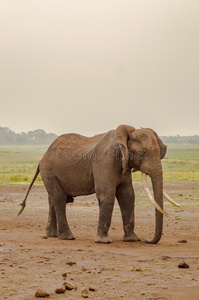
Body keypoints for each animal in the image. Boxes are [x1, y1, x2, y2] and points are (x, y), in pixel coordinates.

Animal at [18, 124, 179, 244]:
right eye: (142, 153)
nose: (147, 239)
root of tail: (42, 158)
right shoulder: (105, 161)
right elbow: (107, 195)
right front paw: (104, 241)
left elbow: (127, 195)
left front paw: (132, 239)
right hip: (49, 171)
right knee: (58, 198)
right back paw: (68, 237)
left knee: (53, 199)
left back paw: (52, 235)